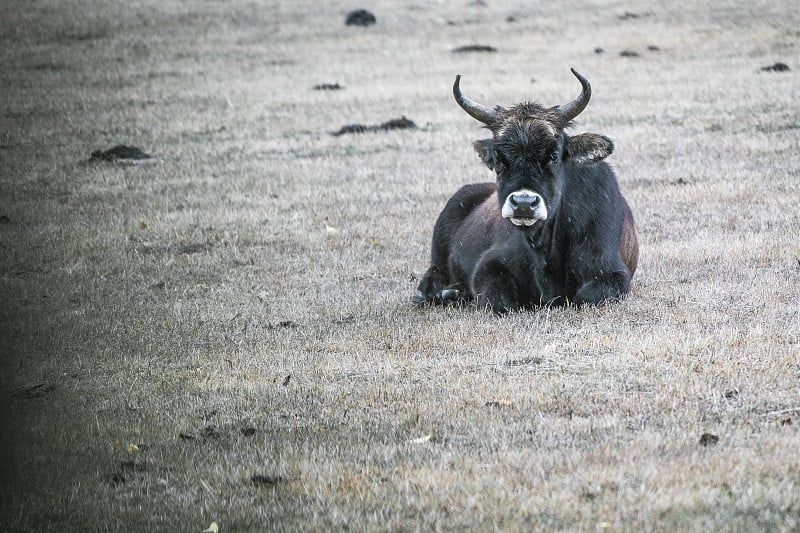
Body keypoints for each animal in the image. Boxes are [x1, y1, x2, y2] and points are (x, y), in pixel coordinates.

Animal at [416, 68, 640, 310]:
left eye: (554, 155)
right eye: (499, 159)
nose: (524, 204)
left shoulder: (612, 273)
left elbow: (585, 298)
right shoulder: (489, 265)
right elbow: (500, 302)